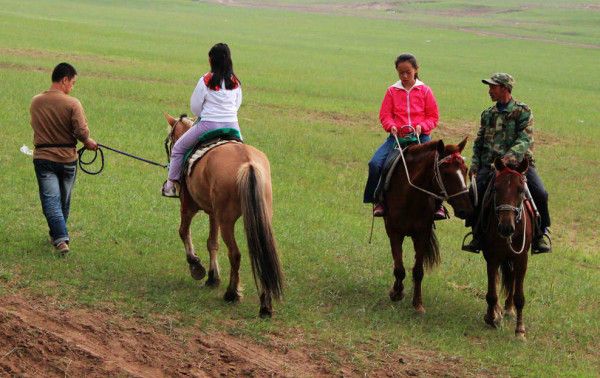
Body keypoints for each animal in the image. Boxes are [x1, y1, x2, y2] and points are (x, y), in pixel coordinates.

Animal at [164, 113, 284, 318]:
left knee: (235, 254)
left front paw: (196, 265)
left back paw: (231, 293)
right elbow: (212, 243)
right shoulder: (214, 213)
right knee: (264, 255)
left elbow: (183, 232)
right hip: (260, 218)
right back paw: (265, 305)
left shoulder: (188, 206)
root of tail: (248, 163)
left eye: (171, 138)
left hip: (227, 220)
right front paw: (213, 278)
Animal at [384, 138, 474, 314]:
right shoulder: (394, 232)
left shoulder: (422, 234)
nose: (466, 209)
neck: (410, 196)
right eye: (446, 173)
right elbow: (399, 267)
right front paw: (396, 292)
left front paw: (418, 304)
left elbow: (418, 271)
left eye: (466, 170)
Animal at [480, 157, 532, 340]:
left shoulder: (521, 258)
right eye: (496, 188)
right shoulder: (492, 257)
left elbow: (519, 297)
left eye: (521, 190)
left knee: (513, 279)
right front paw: (491, 317)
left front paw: (520, 331)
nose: (506, 227)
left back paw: (509, 309)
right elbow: (491, 293)